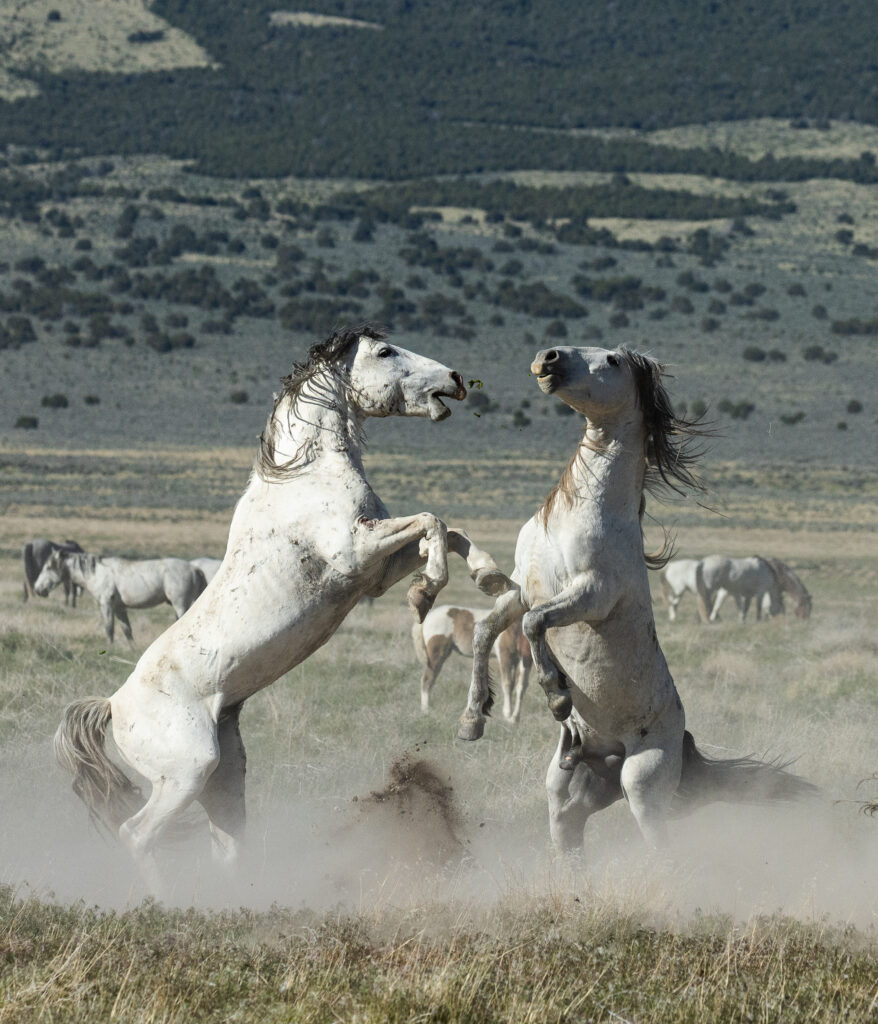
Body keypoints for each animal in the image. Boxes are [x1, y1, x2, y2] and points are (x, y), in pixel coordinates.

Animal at [34, 550, 208, 644]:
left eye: (48, 567)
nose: (37, 589)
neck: (97, 573)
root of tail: (194, 568)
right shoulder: (119, 608)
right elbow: (127, 630)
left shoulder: (106, 604)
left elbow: (109, 627)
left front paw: (110, 647)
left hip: (180, 604)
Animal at [53, 326, 508, 893]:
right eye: (384, 351)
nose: (454, 379)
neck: (307, 474)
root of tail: (114, 706)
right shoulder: (357, 554)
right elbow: (433, 522)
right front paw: (425, 594)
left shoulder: (375, 570)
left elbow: (450, 532)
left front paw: (489, 577)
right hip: (186, 773)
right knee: (136, 835)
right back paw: (165, 901)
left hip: (223, 778)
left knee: (224, 845)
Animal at [457, 345, 814, 853]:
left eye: (612, 360)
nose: (548, 357)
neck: (579, 513)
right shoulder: (523, 591)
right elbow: (488, 630)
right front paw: (473, 719)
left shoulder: (591, 595)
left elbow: (535, 625)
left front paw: (558, 697)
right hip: (567, 795)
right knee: (569, 837)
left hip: (641, 786)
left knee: (662, 847)